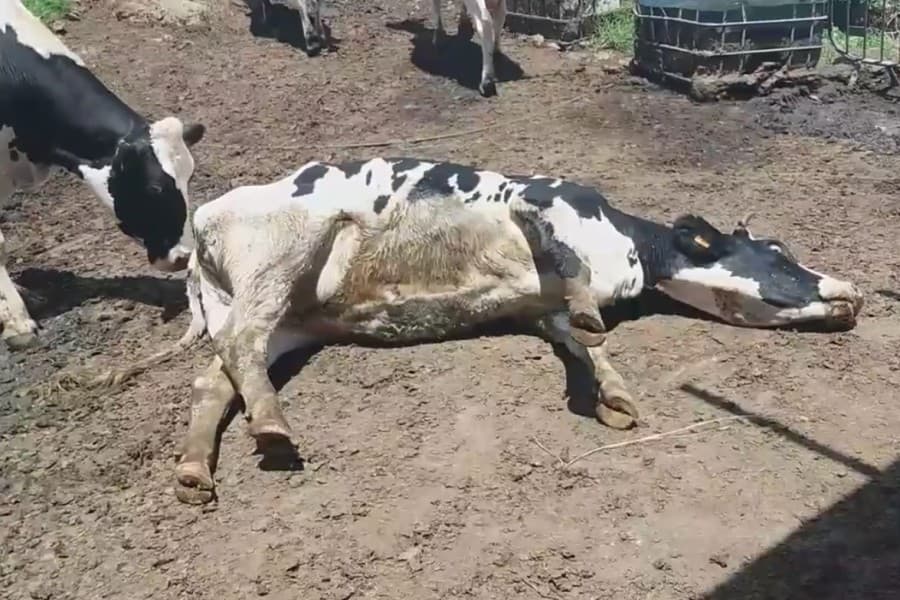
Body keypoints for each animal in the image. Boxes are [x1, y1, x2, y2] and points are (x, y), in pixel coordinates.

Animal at [101, 156, 863, 504]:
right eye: (777, 252)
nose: (851, 293)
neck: (629, 252)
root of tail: (203, 221)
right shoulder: (540, 204)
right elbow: (570, 275)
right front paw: (594, 322)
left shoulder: (538, 309)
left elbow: (582, 344)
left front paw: (615, 395)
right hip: (281, 255)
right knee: (235, 352)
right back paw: (273, 430)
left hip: (286, 317)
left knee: (217, 375)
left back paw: (195, 468)